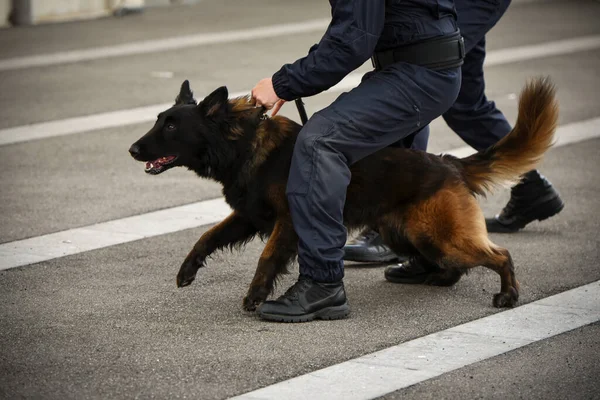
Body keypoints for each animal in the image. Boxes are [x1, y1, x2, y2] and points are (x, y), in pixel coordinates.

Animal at [127, 76, 556, 310]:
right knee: (457, 262)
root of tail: (449, 162)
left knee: (500, 255)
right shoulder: (247, 215)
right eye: (159, 121)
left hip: (438, 236)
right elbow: (206, 236)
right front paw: (188, 270)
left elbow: (267, 258)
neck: (244, 143)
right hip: (406, 235)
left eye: (171, 127)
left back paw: (508, 295)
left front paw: (256, 295)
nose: (131, 150)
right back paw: (438, 279)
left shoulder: (287, 223)